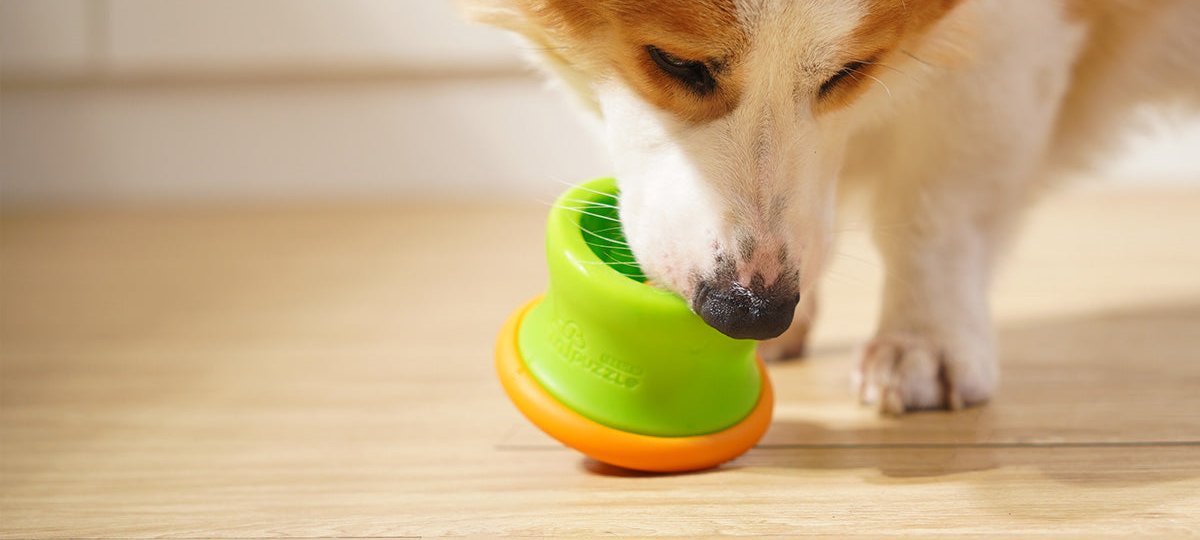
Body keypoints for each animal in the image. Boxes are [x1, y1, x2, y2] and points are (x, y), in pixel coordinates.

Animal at [460, 1, 1200, 412]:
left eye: (850, 71)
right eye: (675, 63)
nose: (752, 312)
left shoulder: (1009, 48)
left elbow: (939, 211)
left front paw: (922, 343)